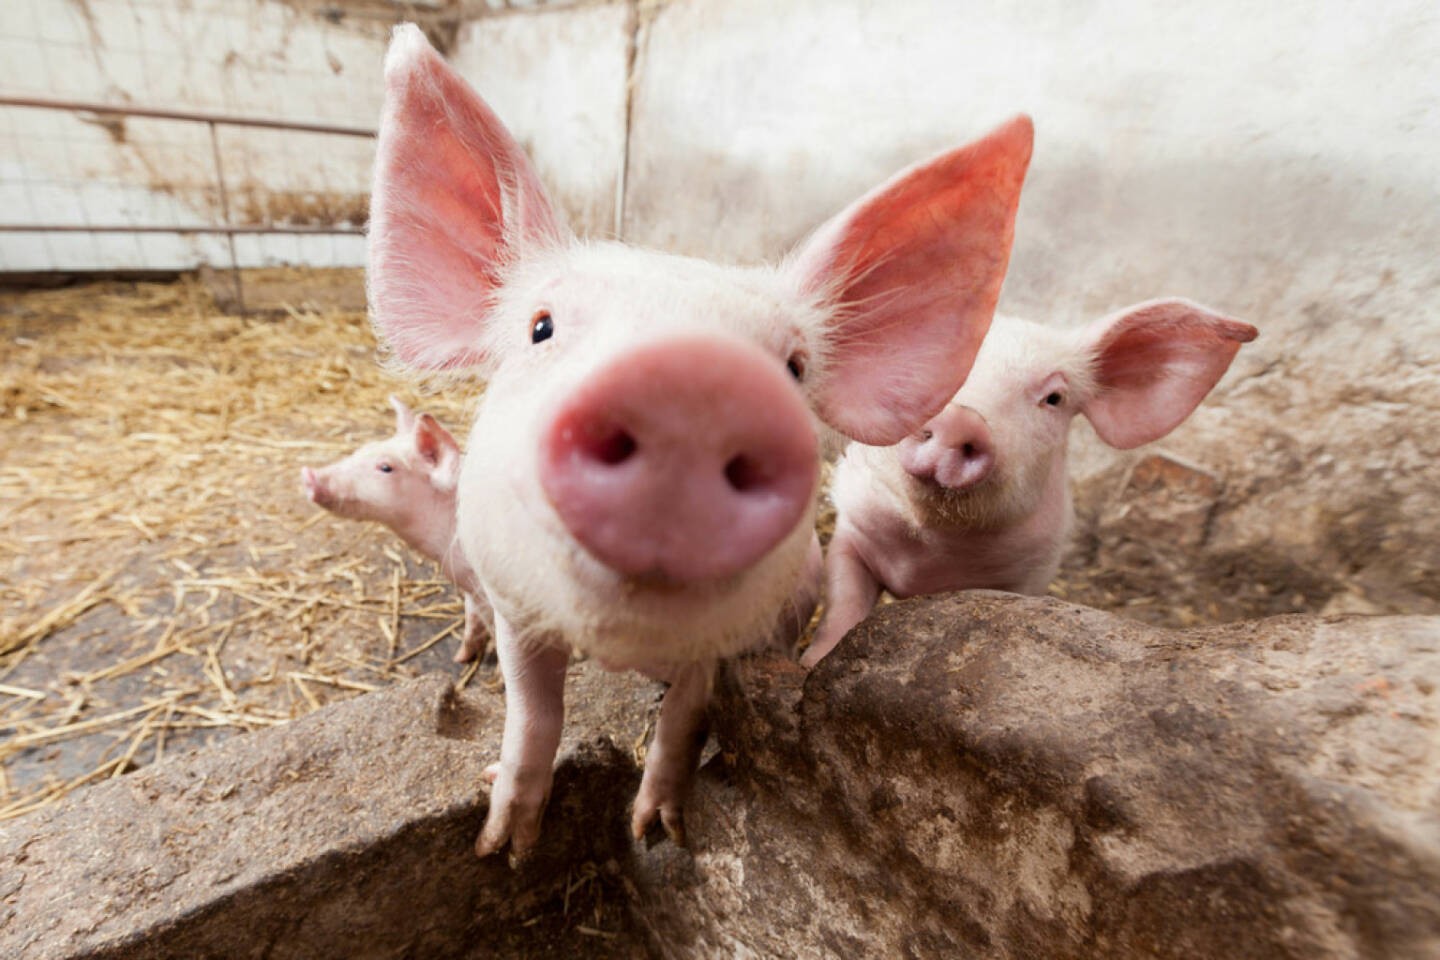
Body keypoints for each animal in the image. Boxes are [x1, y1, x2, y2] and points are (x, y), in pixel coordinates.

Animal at [300, 397, 492, 662]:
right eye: (362, 450)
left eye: (385, 467)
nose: (308, 474)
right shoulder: (473, 590)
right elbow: (473, 619)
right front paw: (460, 658)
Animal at [365, 24, 1031, 863]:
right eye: (541, 326)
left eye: (794, 366)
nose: (691, 380)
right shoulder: (511, 602)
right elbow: (534, 715)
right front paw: (503, 849)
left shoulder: (734, 642)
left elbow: (684, 718)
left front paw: (658, 833)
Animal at [806, 302, 1255, 667]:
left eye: (1053, 398)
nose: (962, 420)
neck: (930, 552)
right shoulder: (853, 528)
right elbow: (843, 601)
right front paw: (814, 660)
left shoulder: (1031, 574)